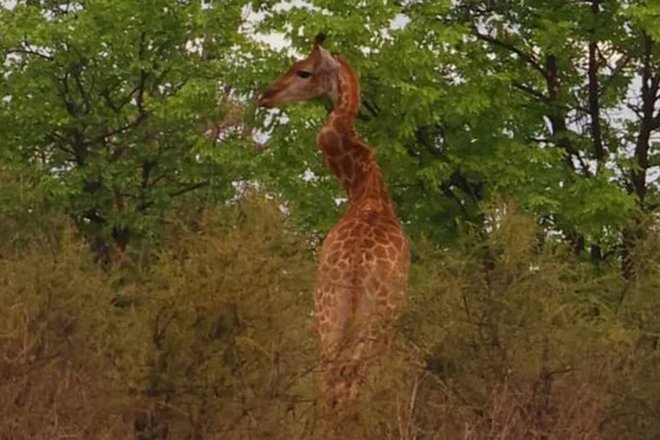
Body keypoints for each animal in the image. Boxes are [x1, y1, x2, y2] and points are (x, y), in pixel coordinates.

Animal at [256, 35, 408, 416]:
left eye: (303, 71)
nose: (265, 96)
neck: (364, 188)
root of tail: (356, 264)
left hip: (329, 313)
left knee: (329, 382)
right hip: (367, 318)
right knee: (349, 385)